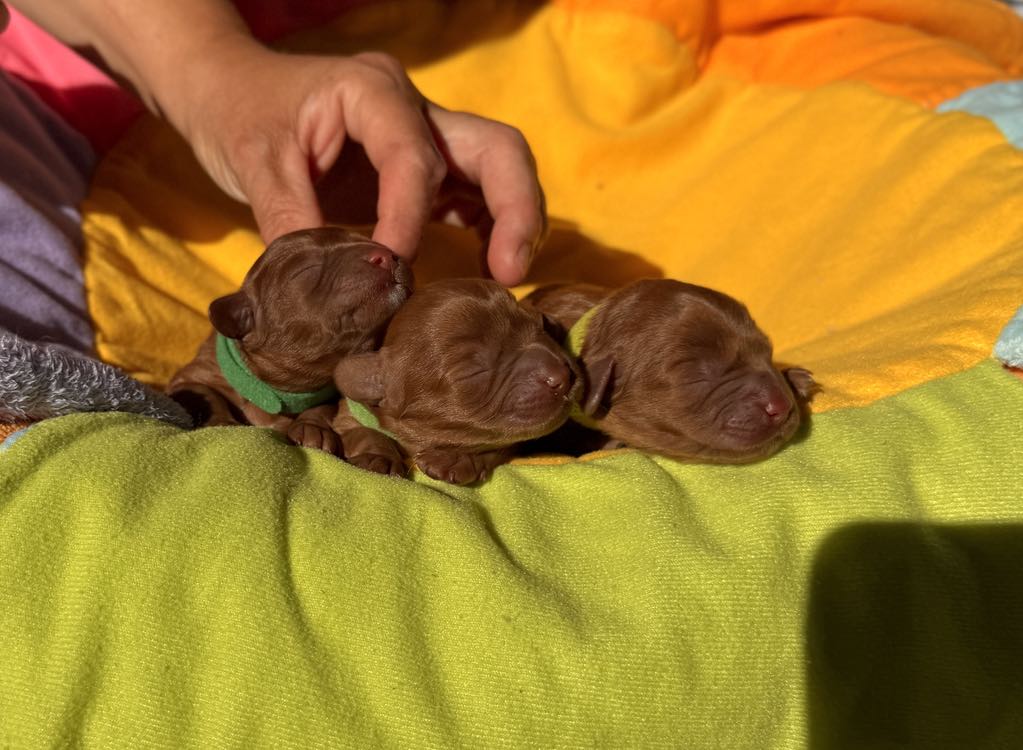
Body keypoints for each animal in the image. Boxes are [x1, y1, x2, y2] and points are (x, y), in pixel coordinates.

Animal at [168, 227, 413, 452]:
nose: (386, 255)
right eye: (308, 270)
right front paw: (222, 422)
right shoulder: (196, 374)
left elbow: (323, 408)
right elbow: (204, 392)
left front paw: (312, 428)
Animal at [332, 278, 580, 483]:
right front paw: (376, 457)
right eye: (474, 371)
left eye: (542, 328)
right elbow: (363, 431)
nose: (562, 376)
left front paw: (458, 457)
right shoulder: (349, 413)